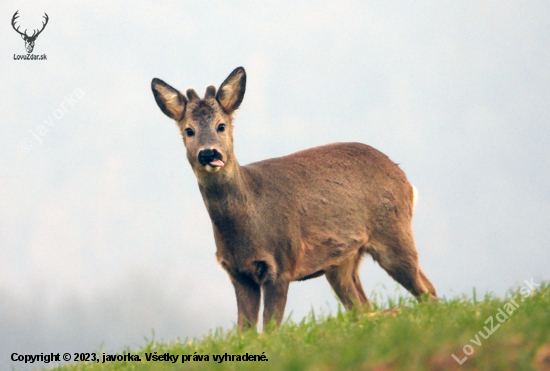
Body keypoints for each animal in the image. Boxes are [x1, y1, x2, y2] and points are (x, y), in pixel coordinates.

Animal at [150, 67, 436, 332]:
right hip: (342, 261)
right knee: (364, 306)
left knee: (427, 291)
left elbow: (270, 330)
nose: (209, 153)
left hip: (393, 232)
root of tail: (405, 181)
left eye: (221, 125)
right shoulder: (238, 272)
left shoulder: (281, 262)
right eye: (189, 130)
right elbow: (245, 333)